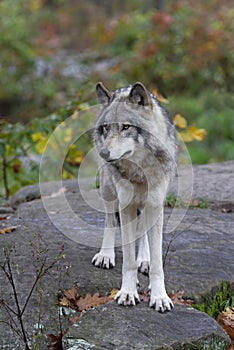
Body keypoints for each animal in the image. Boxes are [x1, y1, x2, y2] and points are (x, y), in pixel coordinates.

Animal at [91, 82, 177, 312]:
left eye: (126, 127)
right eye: (106, 128)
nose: (103, 153)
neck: (140, 172)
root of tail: (125, 87)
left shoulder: (155, 205)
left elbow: (157, 263)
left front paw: (159, 297)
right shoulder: (125, 205)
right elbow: (128, 260)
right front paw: (128, 292)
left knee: (143, 231)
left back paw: (144, 260)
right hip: (108, 190)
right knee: (110, 221)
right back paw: (106, 255)